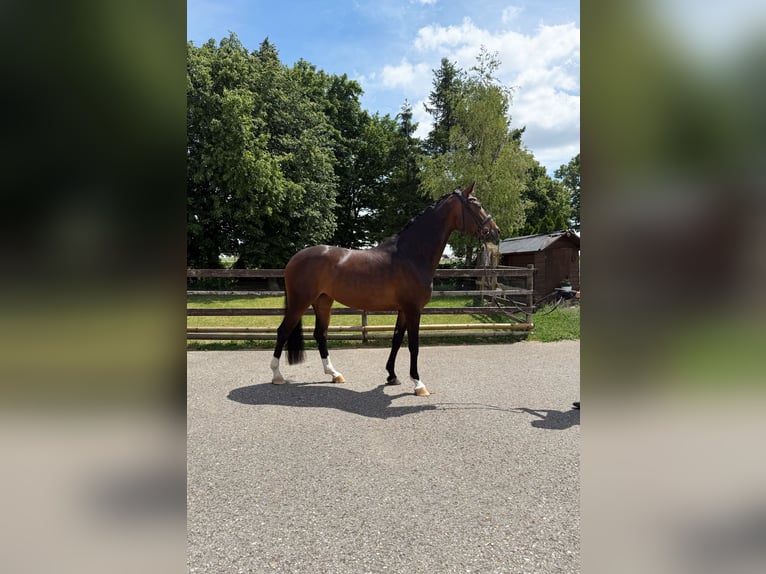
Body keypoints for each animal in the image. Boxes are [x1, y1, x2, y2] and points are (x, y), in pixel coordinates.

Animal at [269, 182, 500, 396]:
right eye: (477, 204)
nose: (495, 231)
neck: (411, 255)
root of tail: (294, 258)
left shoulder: (403, 310)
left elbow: (396, 339)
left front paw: (392, 376)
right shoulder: (413, 310)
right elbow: (413, 345)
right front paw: (418, 384)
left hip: (323, 301)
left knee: (320, 334)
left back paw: (334, 374)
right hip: (300, 302)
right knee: (283, 331)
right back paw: (277, 375)